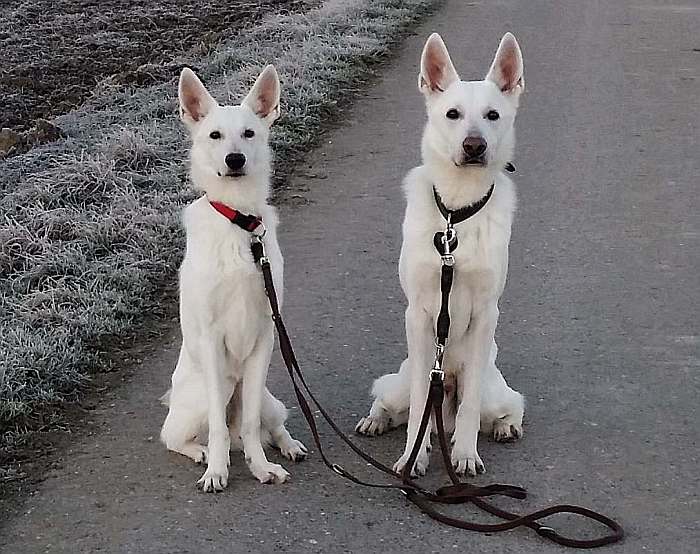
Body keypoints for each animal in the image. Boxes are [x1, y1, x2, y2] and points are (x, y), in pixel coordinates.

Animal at [164, 66, 308, 492]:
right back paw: (201, 453)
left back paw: (287, 446)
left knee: (265, 425)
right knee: (176, 436)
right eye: (214, 135)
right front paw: (216, 471)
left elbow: (247, 424)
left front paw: (261, 467)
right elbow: (218, 428)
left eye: (249, 133)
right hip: (211, 391)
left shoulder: (265, 337)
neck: (239, 223)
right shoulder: (212, 342)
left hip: (261, 394)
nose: (235, 159)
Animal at [356, 33, 524, 474]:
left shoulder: (486, 315)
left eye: (493, 115)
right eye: (452, 114)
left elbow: (469, 410)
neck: (456, 215)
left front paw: (464, 454)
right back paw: (376, 421)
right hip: (402, 378)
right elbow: (418, 408)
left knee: (504, 404)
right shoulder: (417, 315)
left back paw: (505, 426)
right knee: (394, 400)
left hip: (489, 387)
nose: (474, 146)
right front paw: (412, 456)